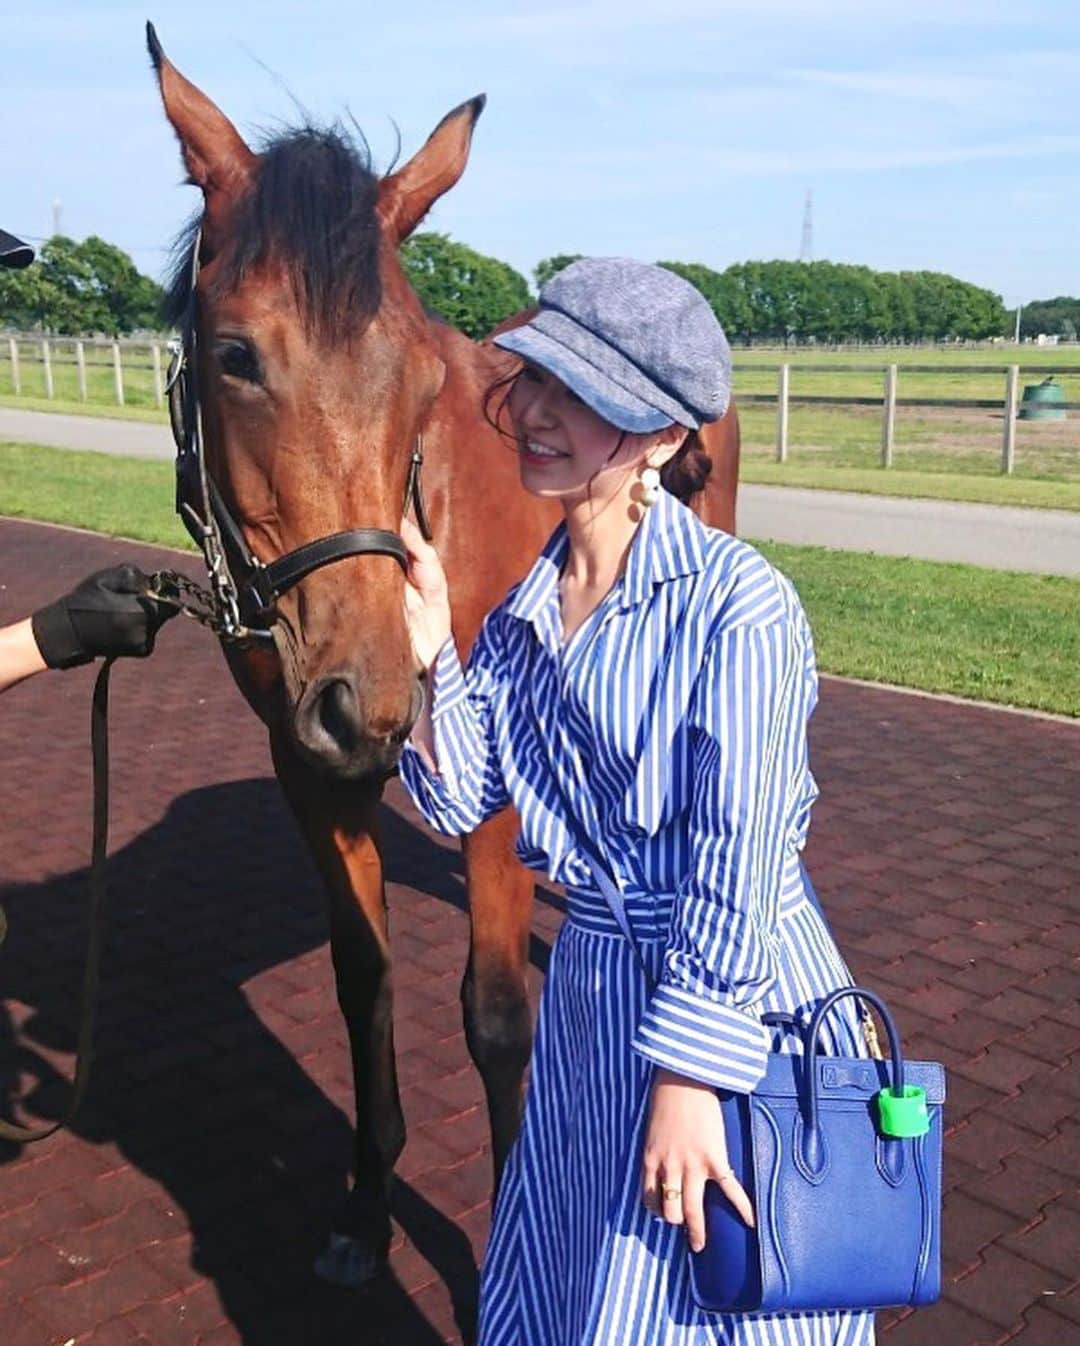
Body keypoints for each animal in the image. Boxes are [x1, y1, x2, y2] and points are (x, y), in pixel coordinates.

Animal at [147, 26, 737, 1286]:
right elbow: (362, 978)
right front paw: (367, 1203)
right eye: (234, 355)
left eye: (424, 375)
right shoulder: (310, 770)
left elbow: (499, 1012)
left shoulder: (501, 781)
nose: (371, 696)